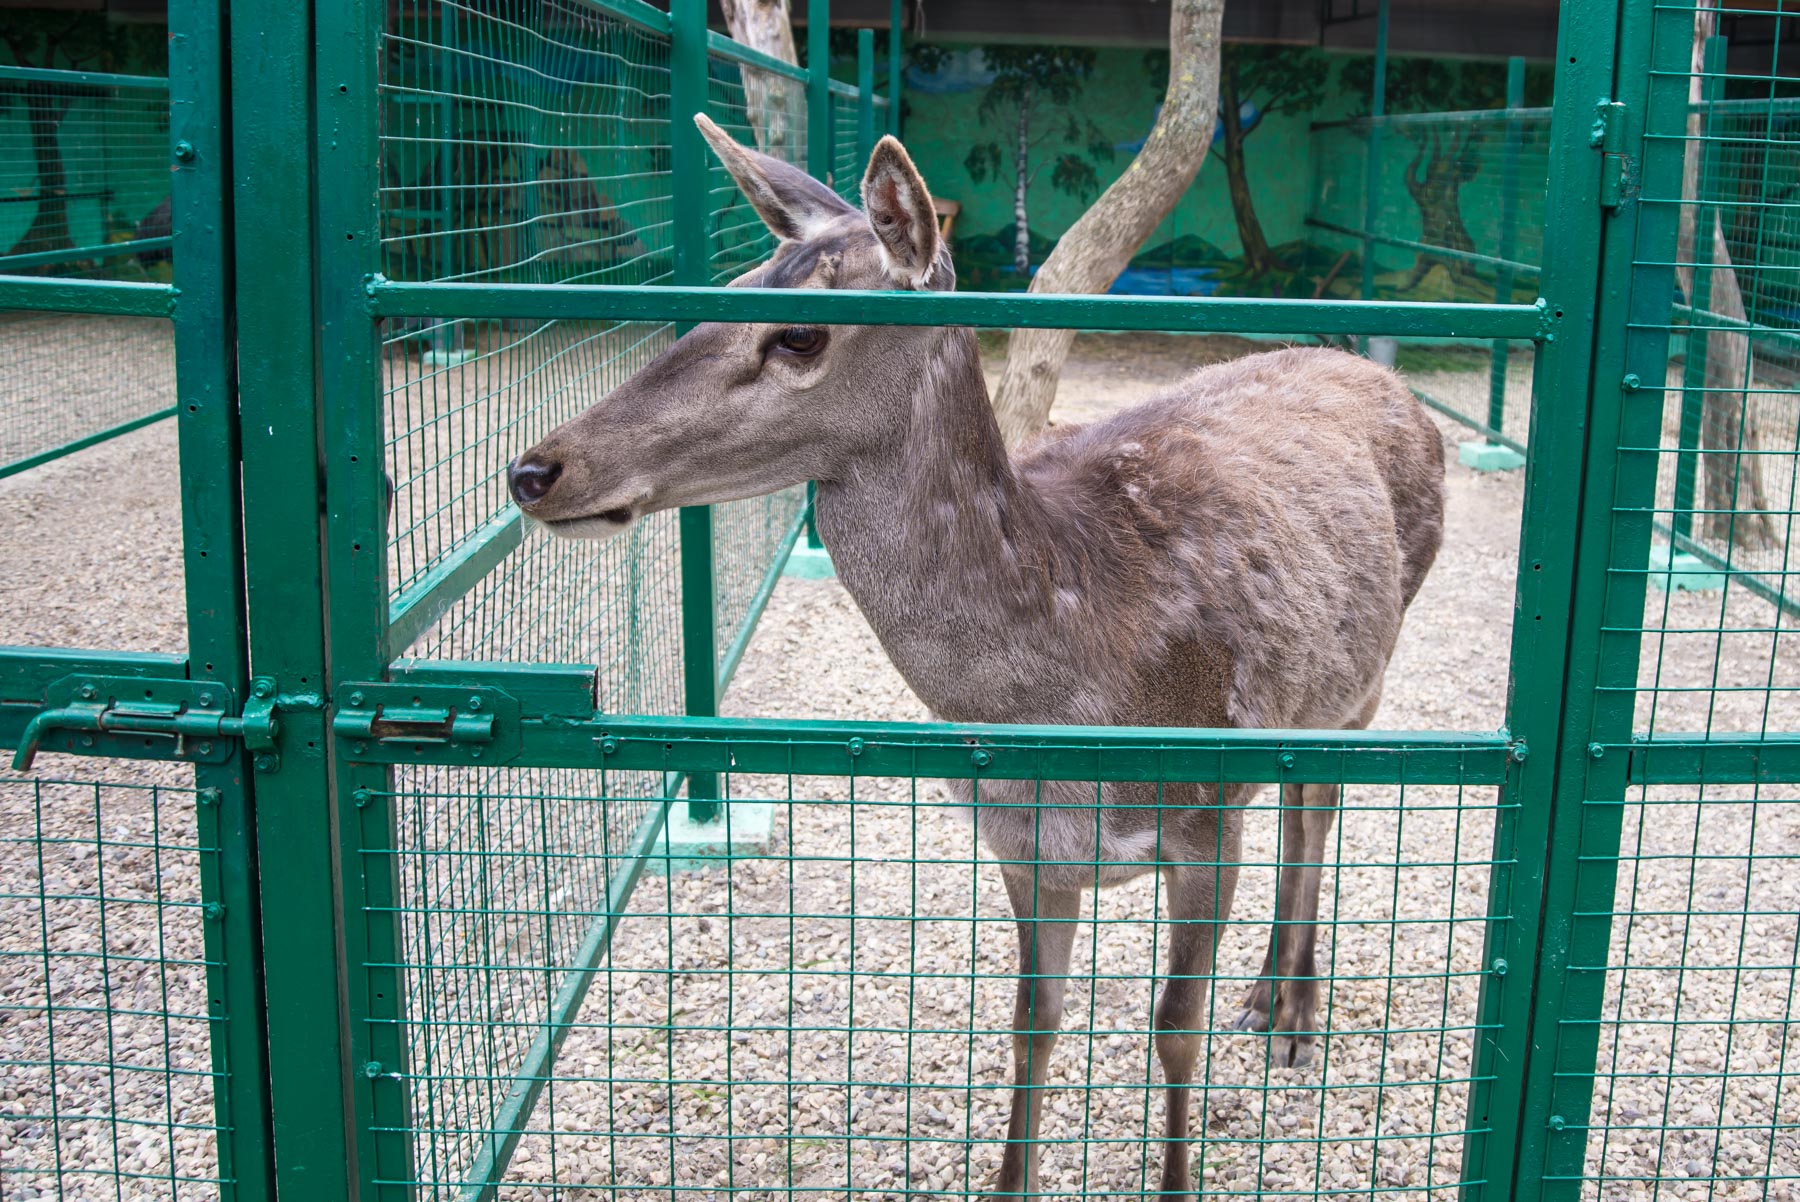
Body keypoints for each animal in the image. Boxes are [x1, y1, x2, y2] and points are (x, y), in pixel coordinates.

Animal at [511, 115, 1447, 1202]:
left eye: (801, 333)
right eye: (738, 285)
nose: (535, 468)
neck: (1074, 698)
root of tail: (1389, 380)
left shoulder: (1206, 814)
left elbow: (1174, 1030)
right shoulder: (1018, 844)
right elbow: (1031, 1025)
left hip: (1369, 671)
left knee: (1316, 811)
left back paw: (1289, 1012)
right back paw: (1269, 998)